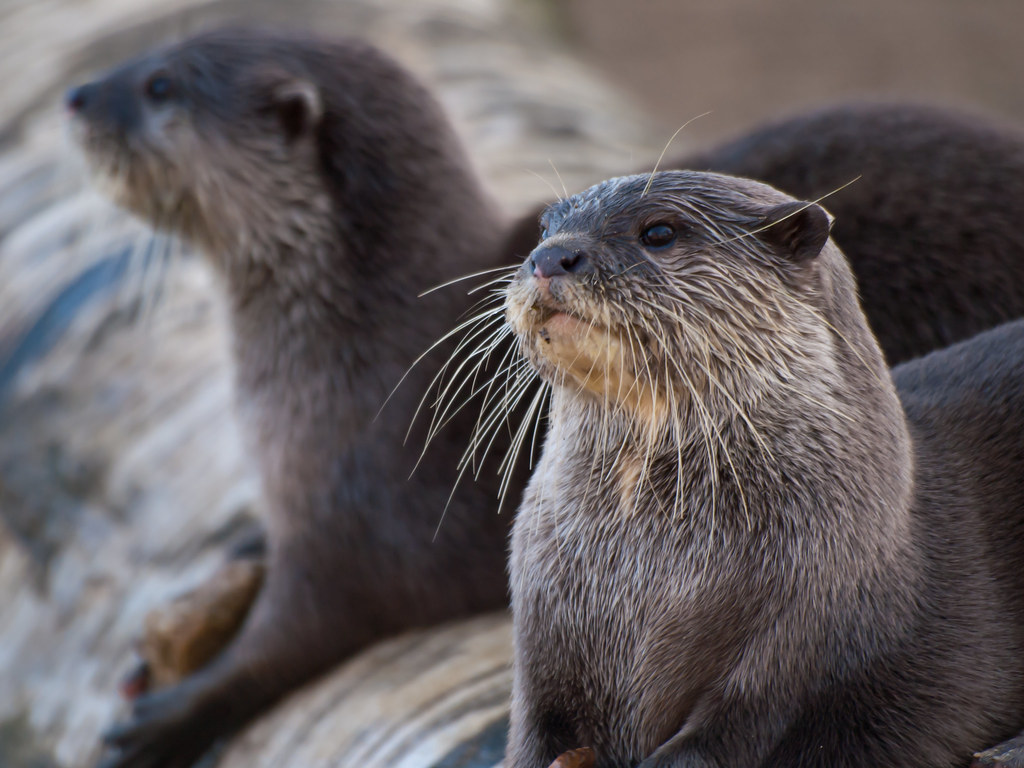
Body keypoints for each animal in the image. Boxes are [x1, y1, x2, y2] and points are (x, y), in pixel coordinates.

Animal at [498, 171, 1024, 767]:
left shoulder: (802, 640)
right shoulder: (542, 646)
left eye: (659, 232)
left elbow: (736, 733)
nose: (551, 256)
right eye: (546, 228)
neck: (646, 576)